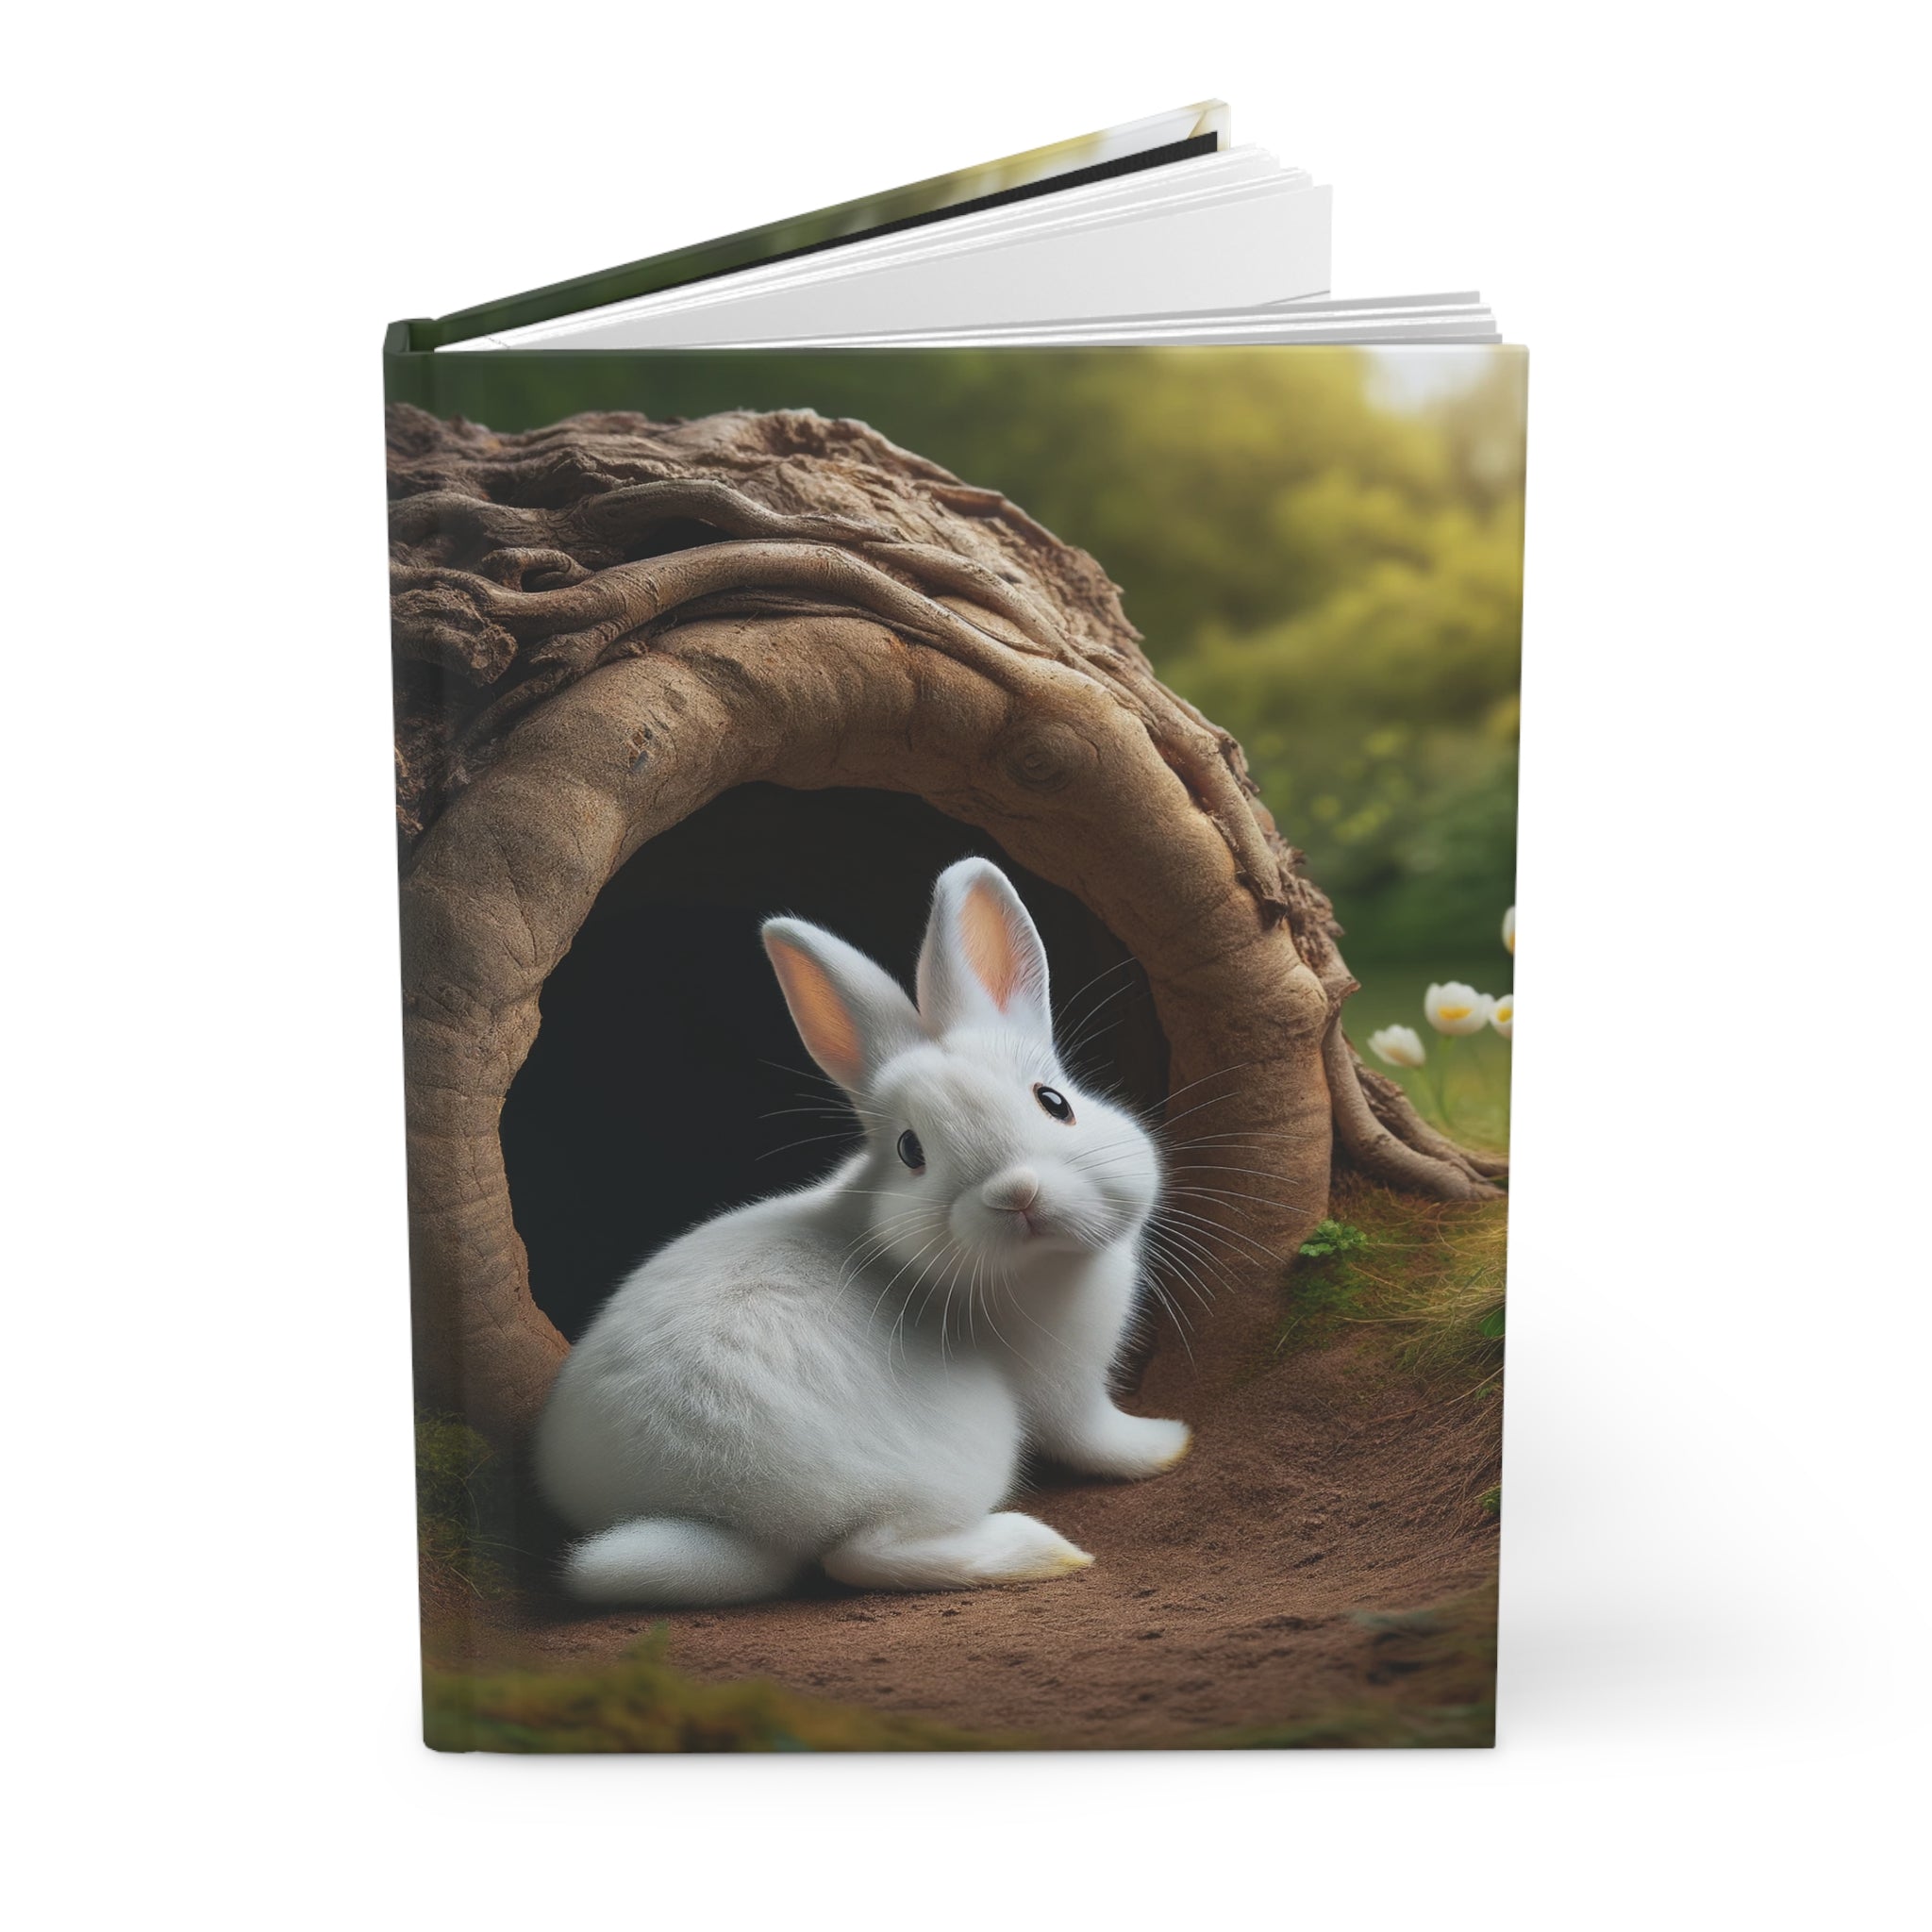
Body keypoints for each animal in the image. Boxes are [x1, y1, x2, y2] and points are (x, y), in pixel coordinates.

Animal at [532, 856, 1191, 1606]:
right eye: (911, 1151)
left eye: (1055, 1103)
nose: (1016, 1193)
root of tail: (724, 1514)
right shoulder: (1067, 1389)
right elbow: (1096, 1438)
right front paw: (1167, 1441)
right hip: (963, 1447)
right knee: (864, 1555)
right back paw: (1044, 1551)